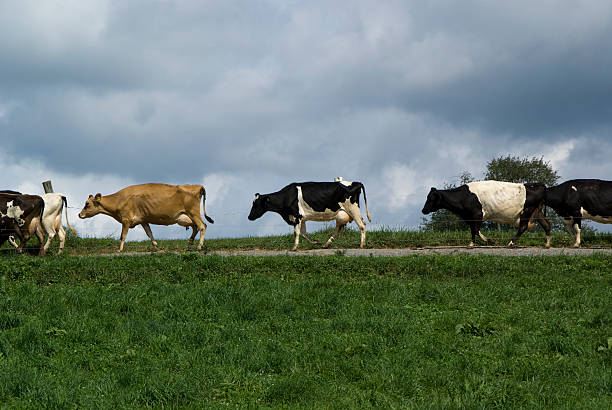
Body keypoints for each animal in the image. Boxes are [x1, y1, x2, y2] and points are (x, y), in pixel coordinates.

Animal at [77, 183, 214, 253]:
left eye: (87, 204)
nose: (79, 214)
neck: (119, 200)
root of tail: (198, 186)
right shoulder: (143, 220)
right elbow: (149, 233)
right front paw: (156, 246)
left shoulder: (126, 220)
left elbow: (123, 235)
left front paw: (119, 249)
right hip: (187, 216)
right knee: (195, 227)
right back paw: (189, 244)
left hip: (193, 212)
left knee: (202, 226)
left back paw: (199, 246)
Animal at [420, 179, 548, 247]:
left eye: (430, 198)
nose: (423, 210)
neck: (464, 197)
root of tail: (538, 185)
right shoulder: (470, 217)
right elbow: (473, 230)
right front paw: (472, 244)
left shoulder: (477, 214)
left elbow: (476, 230)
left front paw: (490, 240)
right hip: (537, 211)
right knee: (546, 225)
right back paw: (547, 244)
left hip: (527, 211)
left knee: (523, 227)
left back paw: (511, 243)